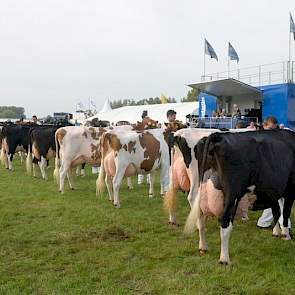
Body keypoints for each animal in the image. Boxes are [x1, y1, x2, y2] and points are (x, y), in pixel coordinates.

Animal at [186, 131, 295, 264]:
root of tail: (217, 136)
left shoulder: (273, 192)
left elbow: (276, 211)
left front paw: (277, 232)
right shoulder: (291, 190)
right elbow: (285, 213)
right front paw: (286, 235)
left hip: (201, 187)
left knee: (201, 219)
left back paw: (203, 247)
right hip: (231, 195)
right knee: (225, 224)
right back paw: (224, 259)